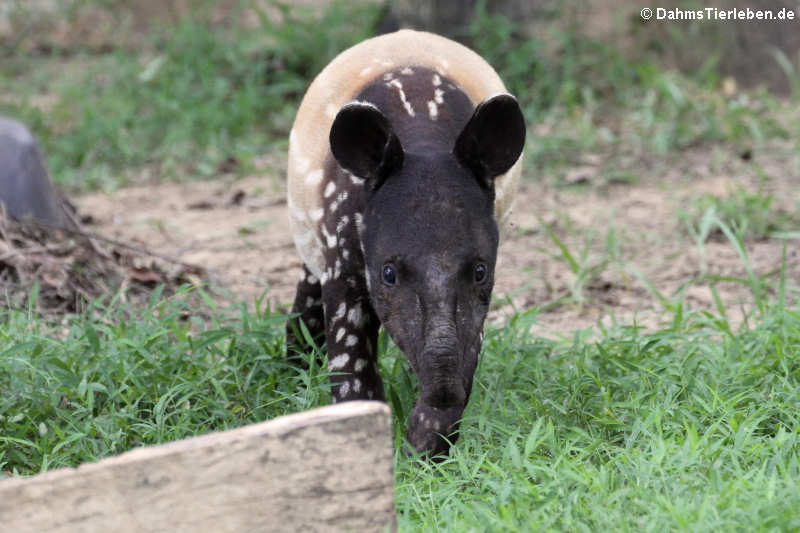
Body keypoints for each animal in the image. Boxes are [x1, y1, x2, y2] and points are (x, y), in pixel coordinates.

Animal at [286, 29, 524, 456]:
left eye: (481, 271)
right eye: (389, 274)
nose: (442, 392)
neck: (424, 138)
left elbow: (467, 345)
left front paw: (425, 448)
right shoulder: (343, 254)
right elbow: (350, 358)